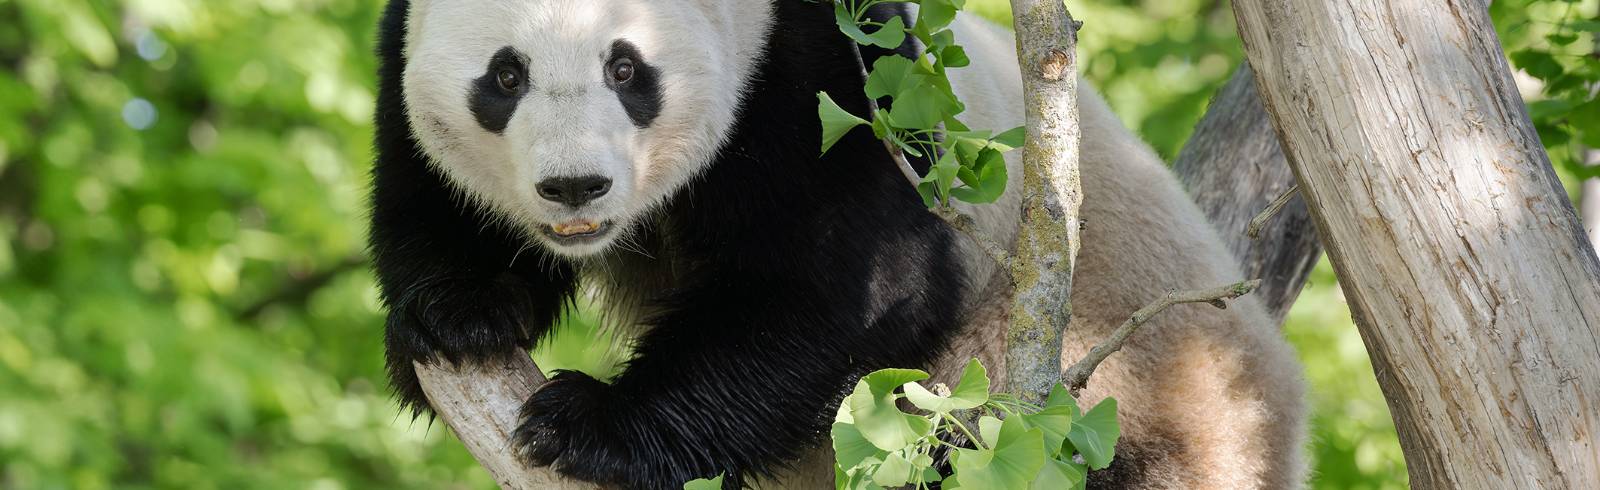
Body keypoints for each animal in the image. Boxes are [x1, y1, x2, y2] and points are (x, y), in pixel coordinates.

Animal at [369, 0, 1308, 489]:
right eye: (506, 74)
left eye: (627, 68)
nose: (575, 187)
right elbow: (428, 192)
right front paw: (458, 314)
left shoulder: (838, 75)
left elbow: (843, 286)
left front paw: (585, 425)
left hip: (1115, 390)